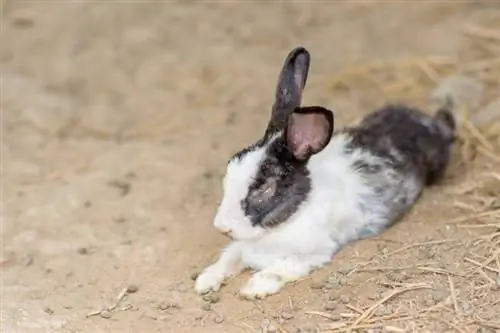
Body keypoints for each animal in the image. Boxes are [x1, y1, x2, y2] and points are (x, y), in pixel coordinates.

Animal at [194, 46, 458, 298]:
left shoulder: (314, 252)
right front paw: (204, 282)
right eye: (230, 169)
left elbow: (281, 268)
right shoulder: (241, 246)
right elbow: (228, 256)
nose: (222, 227)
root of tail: (425, 121)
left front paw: (254, 288)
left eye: (265, 187)